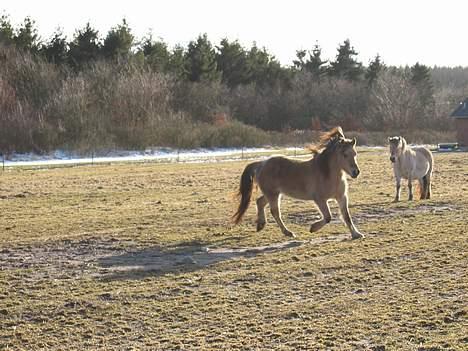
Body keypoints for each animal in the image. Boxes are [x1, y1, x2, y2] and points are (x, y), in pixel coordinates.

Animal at [232, 128, 364, 241]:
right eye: (344, 154)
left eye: (355, 154)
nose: (356, 172)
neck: (327, 173)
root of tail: (261, 164)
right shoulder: (320, 199)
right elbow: (328, 217)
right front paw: (312, 228)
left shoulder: (341, 197)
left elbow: (346, 216)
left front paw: (357, 234)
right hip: (273, 194)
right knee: (275, 212)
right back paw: (288, 232)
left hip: (273, 193)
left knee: (260, 202)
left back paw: (261, 225)